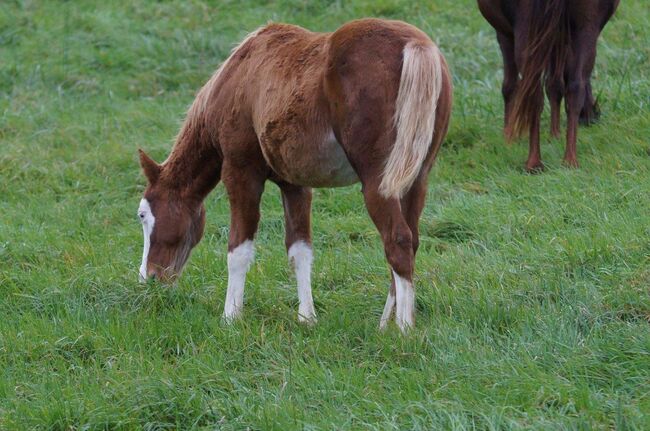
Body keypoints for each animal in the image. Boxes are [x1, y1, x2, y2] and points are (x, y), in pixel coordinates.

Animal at [135, 18, 450, 332]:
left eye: (142, 215)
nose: (148, 277)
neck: (238, 76)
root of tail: (416, 45)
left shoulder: (241, 172)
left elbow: (239, 249)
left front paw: (230, 317)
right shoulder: (294, 184)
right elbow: (300, 250)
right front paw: (306, 317)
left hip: (379, 184)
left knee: (397, 241)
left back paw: (404, 328)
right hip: (415, 180)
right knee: (411, 240)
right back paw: (385, 323)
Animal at [476, 0, 616, 172]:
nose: (593, 116)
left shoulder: (505, 32)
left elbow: (509, 86)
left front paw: (509, 136)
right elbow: (555, 84)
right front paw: (555, 135)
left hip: (526, 29)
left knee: (533, 92)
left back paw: (533, 162)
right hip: (586, 26)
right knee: (575, 85)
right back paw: (570, 161)